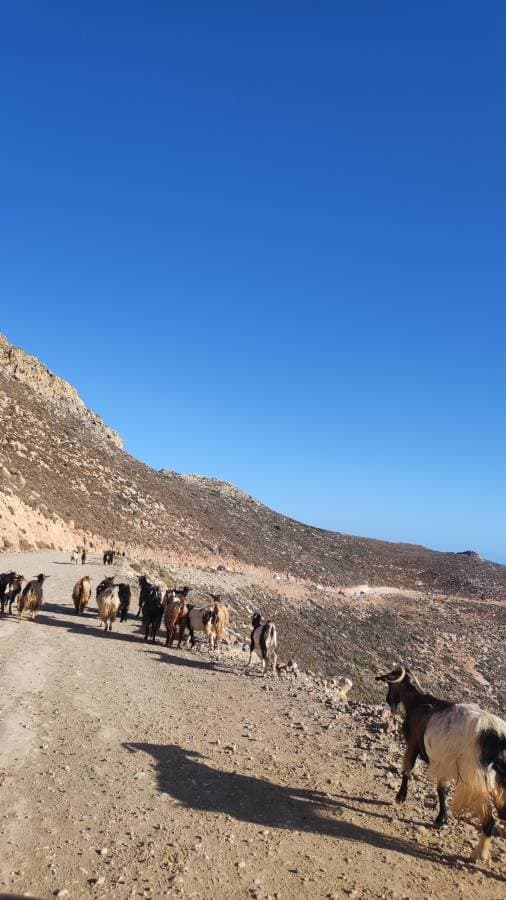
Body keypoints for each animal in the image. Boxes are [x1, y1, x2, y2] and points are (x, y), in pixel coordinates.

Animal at [376, 668, 506, 864]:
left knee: (489, 820)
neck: (417, 703)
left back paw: (478, 854)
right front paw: (441, 819)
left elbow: (407, 770)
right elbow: (441, 789)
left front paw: (400, 797)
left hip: (475, 780)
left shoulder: (413, 745)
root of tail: (498, 738)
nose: (388, 700)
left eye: (390, 684)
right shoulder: (444, 761)